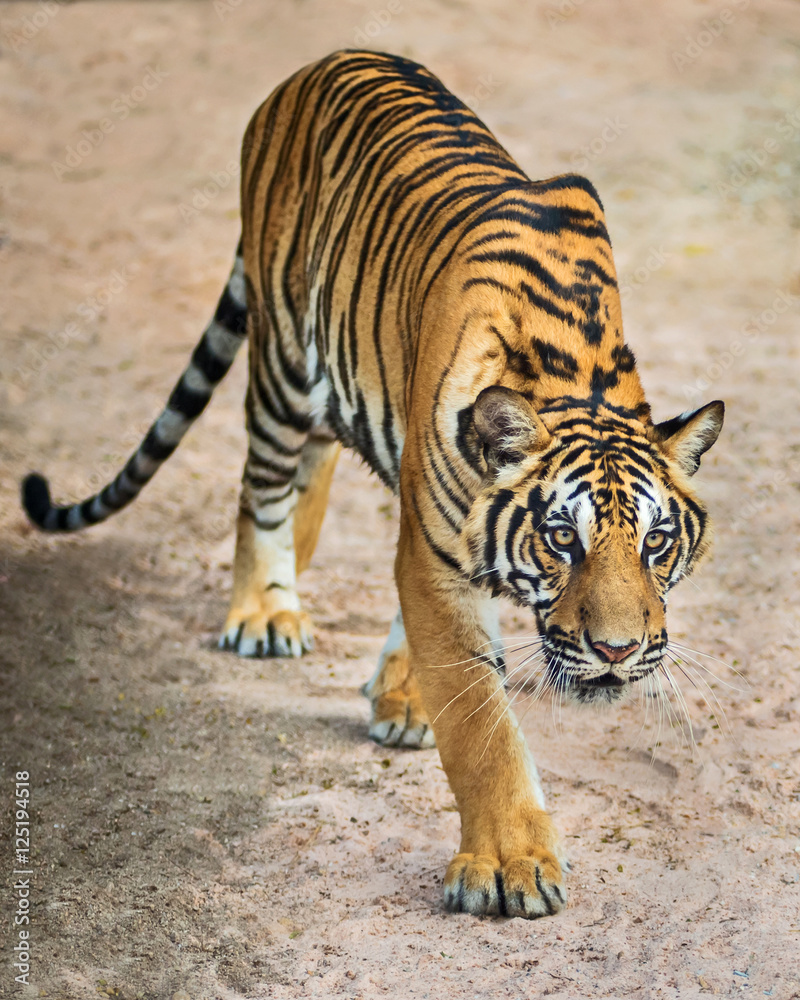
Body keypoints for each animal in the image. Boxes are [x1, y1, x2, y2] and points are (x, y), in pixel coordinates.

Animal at [22, 49, 724, 919]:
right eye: (564, 538)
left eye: (657, 543)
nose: (618, 651)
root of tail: (314, 65)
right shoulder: (435, 551)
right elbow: (482, 727)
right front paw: (510, 868)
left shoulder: (432, 533)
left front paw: (407, 699)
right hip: (283, 363)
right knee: (261, 489)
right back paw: (264, 611)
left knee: (311, 474)